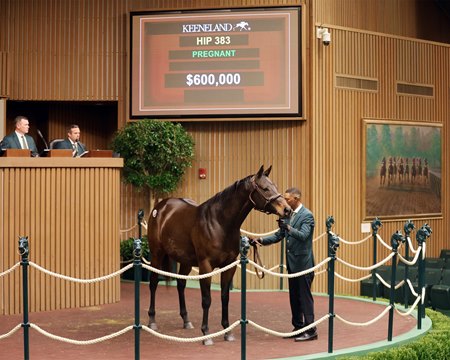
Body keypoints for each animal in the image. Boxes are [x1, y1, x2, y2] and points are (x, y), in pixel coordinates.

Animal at [146, 167, 290, 344]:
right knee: (153, 283)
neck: (219, 222)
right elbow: (207, 299)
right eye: (265, 188)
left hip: (186, 261)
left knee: (180, 284)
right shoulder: (206, 266)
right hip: (156, 254)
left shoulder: (229, 266)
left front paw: (227, 331)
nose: (287, 210)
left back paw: (186, 320)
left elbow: (224, 297)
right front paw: (206, 333)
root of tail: (161, 206)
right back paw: (152, 321)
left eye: (275, 186)